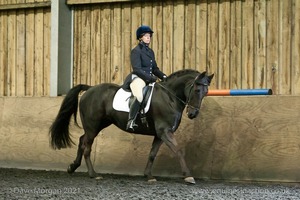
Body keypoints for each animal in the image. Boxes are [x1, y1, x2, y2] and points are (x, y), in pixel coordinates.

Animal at [48, 69, 213, 184]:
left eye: (206, 92)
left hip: (98, 125)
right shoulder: (165, 132)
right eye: (197, 90)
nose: (193, 114)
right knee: (86, 146)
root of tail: (90, 89)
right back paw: (93, 174)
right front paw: (188, 176)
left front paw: (149, 176)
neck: (170, 97)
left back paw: (73, 167)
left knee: (82, 140)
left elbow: (152, 153)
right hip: (92, 126)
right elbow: (178, 151)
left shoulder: (160, 134)